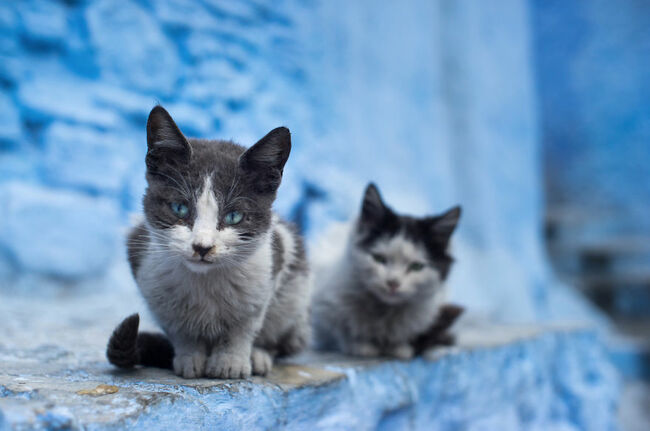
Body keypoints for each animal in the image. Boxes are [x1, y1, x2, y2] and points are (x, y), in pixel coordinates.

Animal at [106, 106, 308, 380]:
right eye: (179, 208)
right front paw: (189, 358)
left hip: (294, 297)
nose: (202, 247)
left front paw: (231, 362)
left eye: (234, 216)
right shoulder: (146, 270)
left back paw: (259, 355)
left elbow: (244, 326)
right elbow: (179, 330)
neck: (205, 281)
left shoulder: (270, 266)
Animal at [312, 184, 458, 360]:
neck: (384, 310)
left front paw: (399, 347)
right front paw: (360, 345)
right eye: (379, 258)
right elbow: (340, 330)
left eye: (416, 266)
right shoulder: (323, 308)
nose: (393, 282)